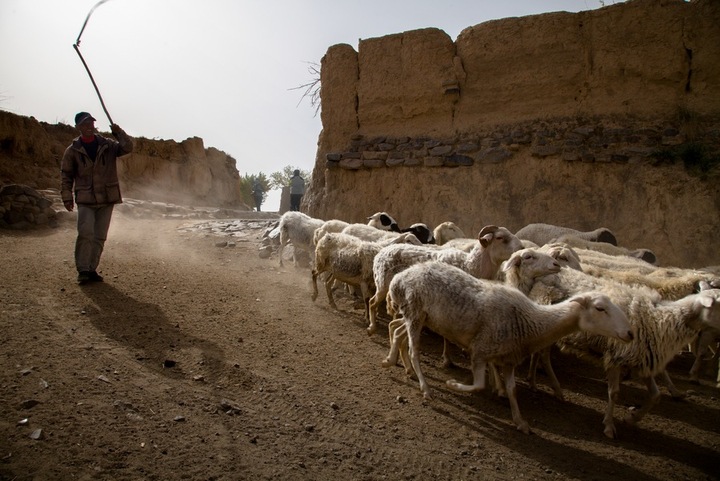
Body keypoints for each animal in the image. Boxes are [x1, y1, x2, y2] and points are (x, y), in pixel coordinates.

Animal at [368, 224, 520, 334]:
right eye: (499, 237)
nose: (521, 247)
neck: (470, 265)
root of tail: (384, 250)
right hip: (382, 284)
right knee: (372, 302)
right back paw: (372, 327)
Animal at [388, 260, 632, 434]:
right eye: (600, 308)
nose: (629, 334)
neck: (531, 321)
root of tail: (401, 277)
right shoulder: (481, 350)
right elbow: (479, 385)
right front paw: (453, 385)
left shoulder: (509, 358)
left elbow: (513, 390)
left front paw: (520, 421)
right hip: (416, 312)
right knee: (414, 350)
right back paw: (425, 387)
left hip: (419, 316)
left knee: (399, 331)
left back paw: (392, 362)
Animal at [524, 266, 720, 438]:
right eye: (719, 305)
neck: (660, 319)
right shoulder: (616, 356)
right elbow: (614, 393)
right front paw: (609, 426)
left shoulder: (642, 359)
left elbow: (656, 395)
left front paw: (632, 418)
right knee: (544, 356)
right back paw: (554, 388)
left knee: (538, 353)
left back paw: (534, 381)